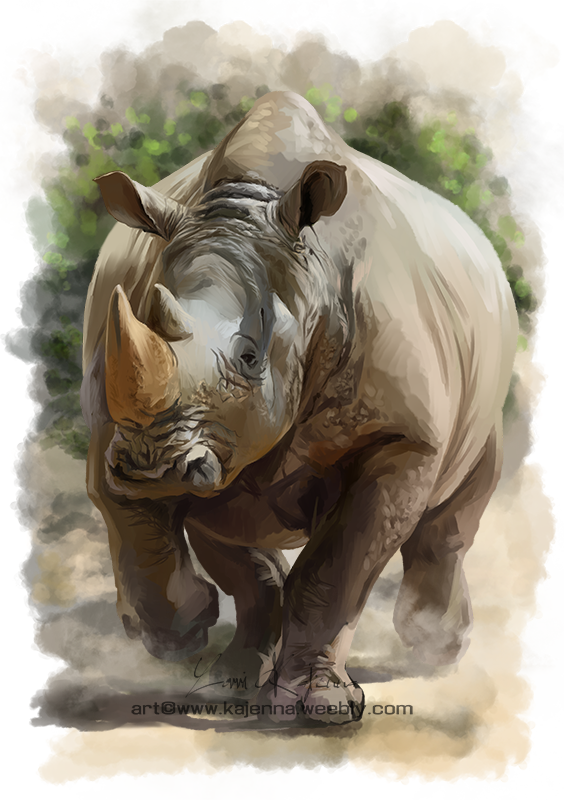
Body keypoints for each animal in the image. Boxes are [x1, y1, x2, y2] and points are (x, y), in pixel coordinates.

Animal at [81, 91, 518, 724]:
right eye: (147, 314)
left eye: (248, 356)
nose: (153, 466)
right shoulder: (124, 418)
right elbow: (136, 515)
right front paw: (183, 633)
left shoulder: (402, 437)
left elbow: (336, 566)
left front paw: (322, 709)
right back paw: (224, 691)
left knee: (460, 502)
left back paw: (433, 647)